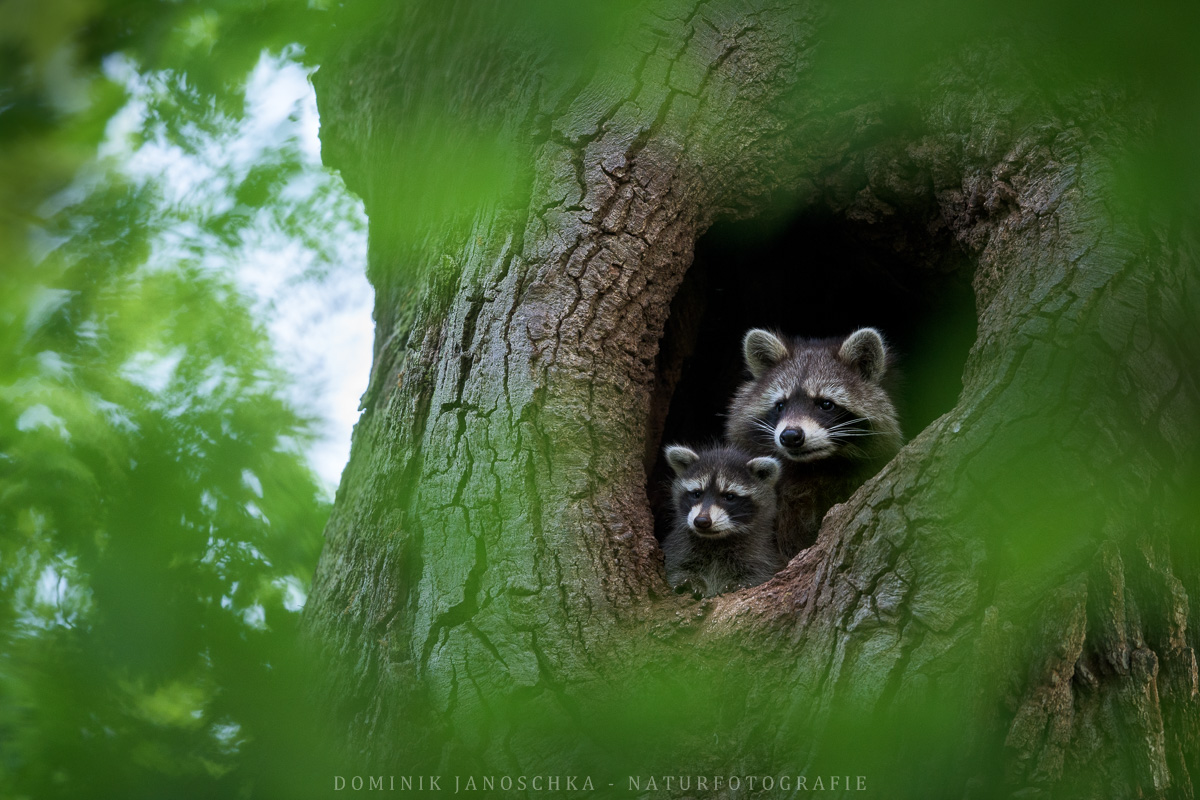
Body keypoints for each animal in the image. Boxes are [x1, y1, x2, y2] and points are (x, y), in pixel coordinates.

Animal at [662, 443, 782, 599]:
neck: (716, 541)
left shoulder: (760, 551)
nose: (701, 521)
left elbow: (760, 573)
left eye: (729, 496)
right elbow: (675, 568)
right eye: (697, 493)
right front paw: (688, 580)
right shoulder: (679, 546)